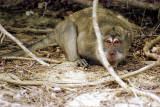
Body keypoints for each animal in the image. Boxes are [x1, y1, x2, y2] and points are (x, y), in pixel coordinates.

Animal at [0, 7, 134, 67]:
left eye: (116, 42)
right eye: (108, 42)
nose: (112, 53)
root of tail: (55, 30)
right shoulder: (88, 43)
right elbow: (80, 44)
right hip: (61, 30)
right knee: (70, 26)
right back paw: (75, 59)